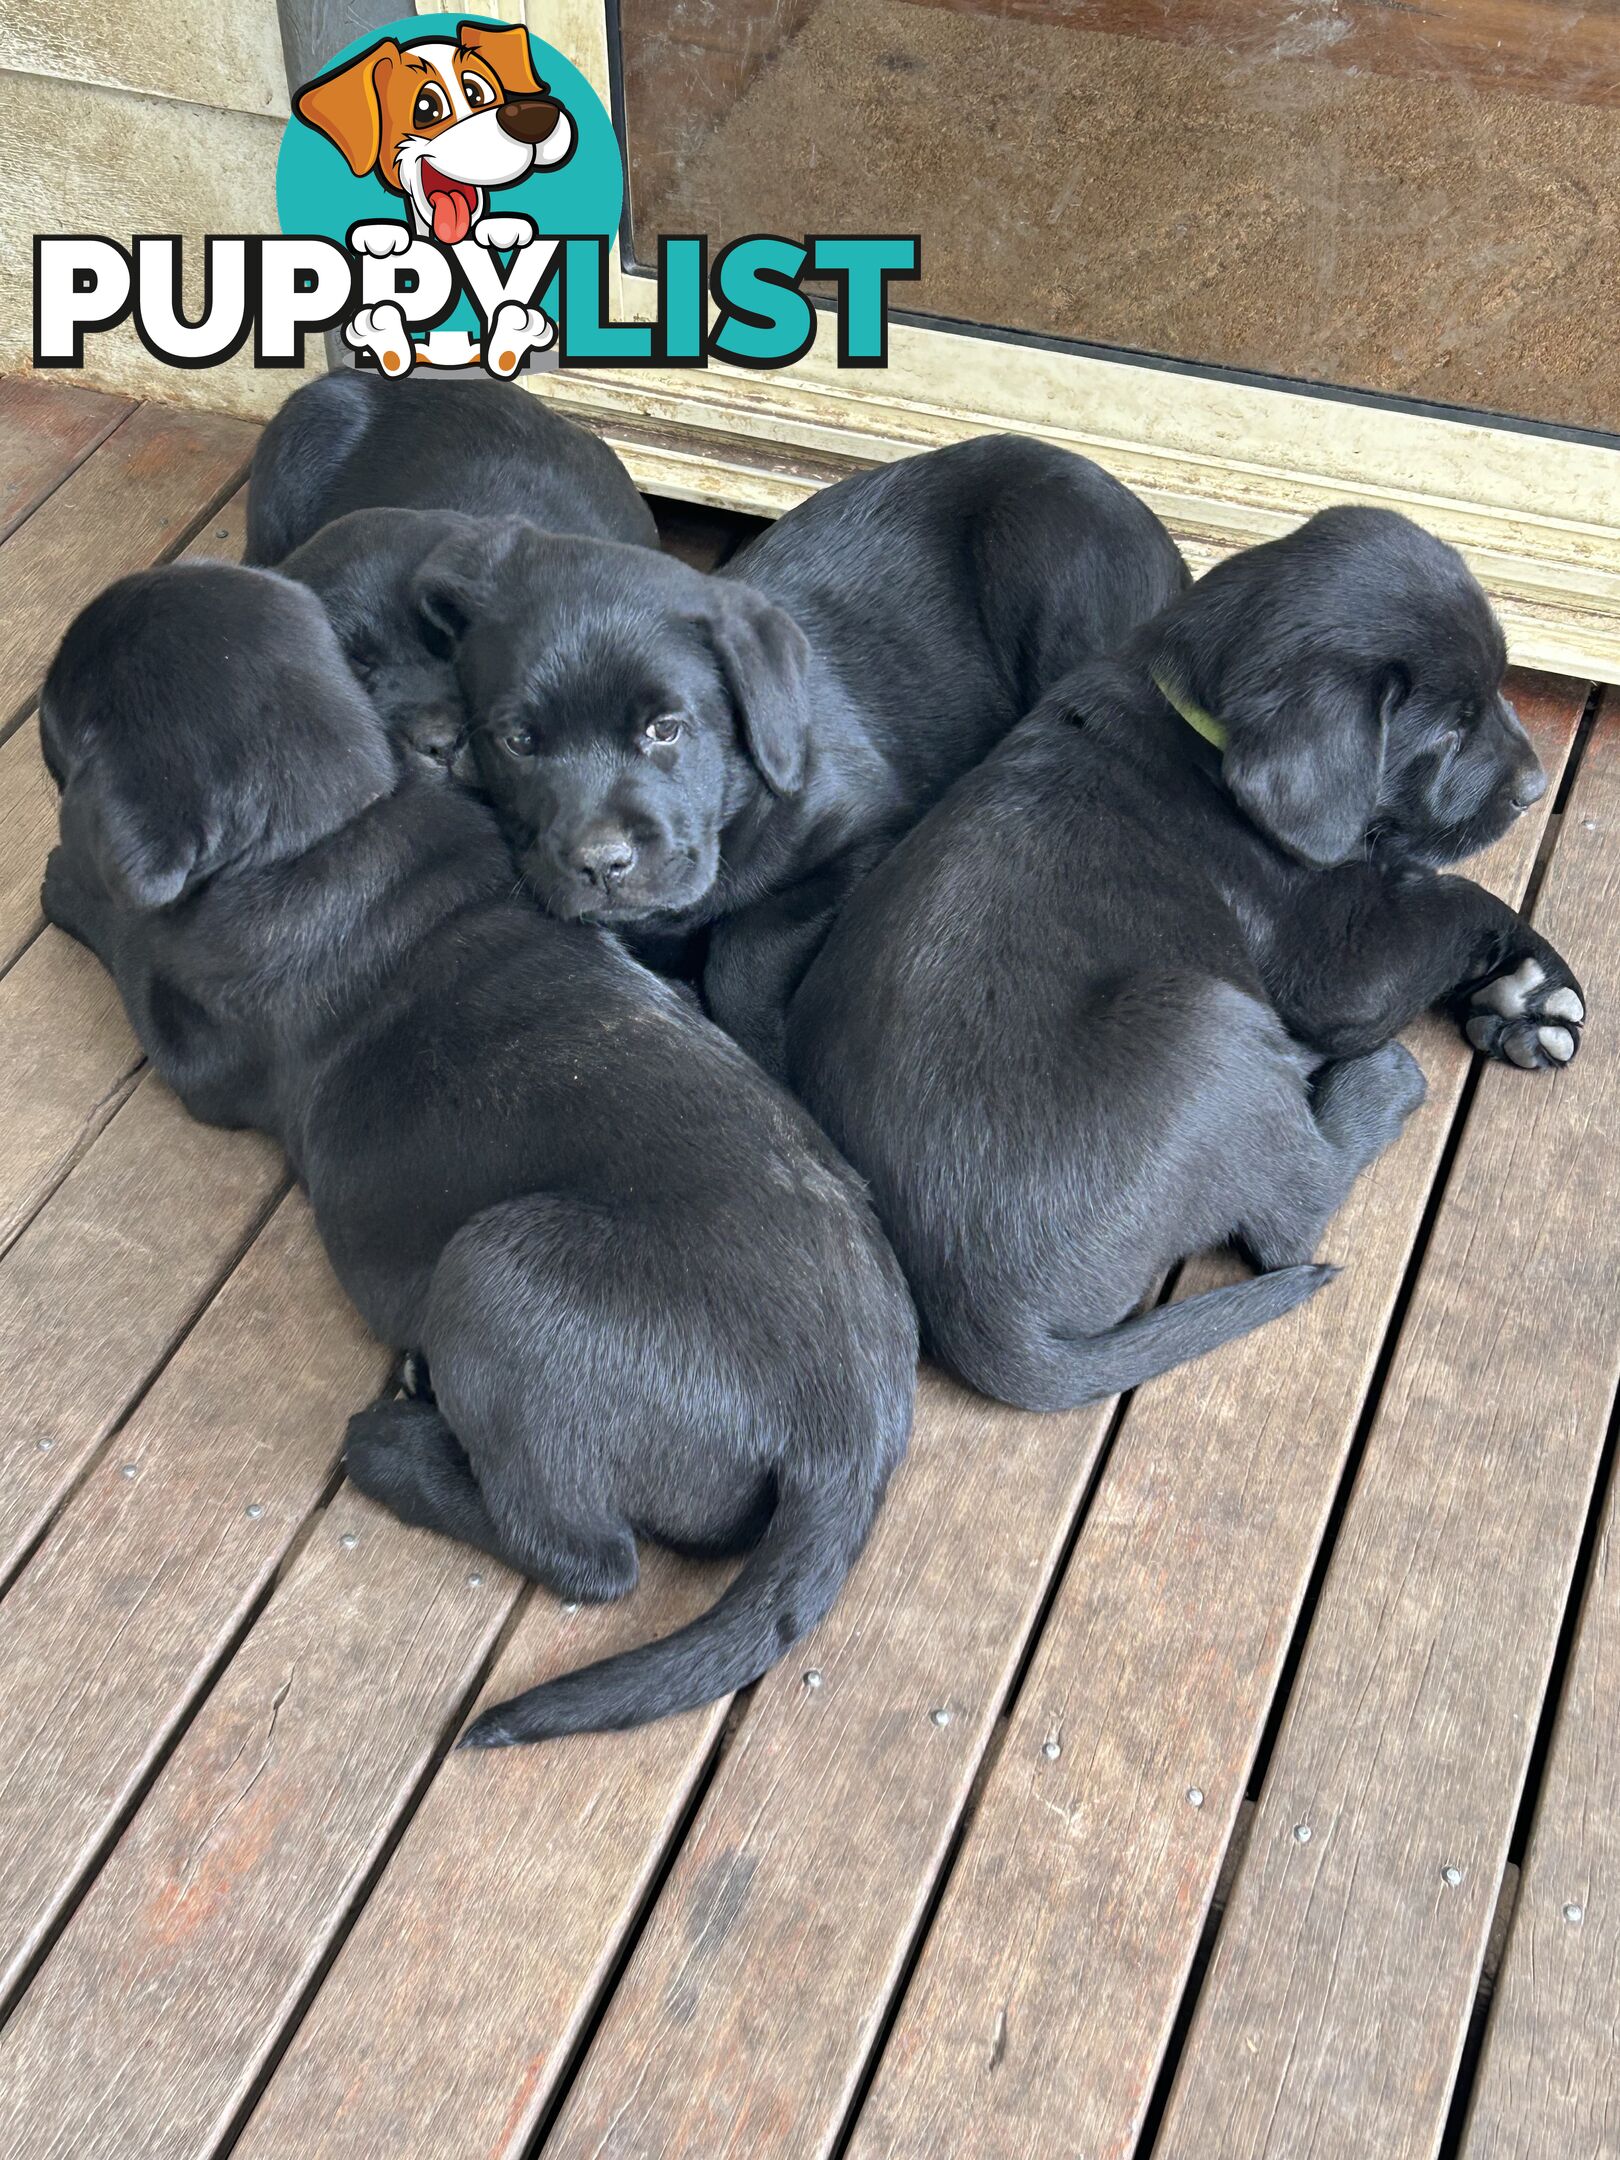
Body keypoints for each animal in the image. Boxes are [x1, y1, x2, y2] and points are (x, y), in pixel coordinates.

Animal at [38, 565, 920, 1745]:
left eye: (54, 721)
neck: (334, 816)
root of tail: (848, 1436)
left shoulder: (196, 1049)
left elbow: (128, 939)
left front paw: (63, 876)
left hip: (500, 1266)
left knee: (590, 1558)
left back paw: (395, 1449)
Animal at [786, 505, 1589, 1416]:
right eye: (1450, 729)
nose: (1534, 788)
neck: (1190, 720)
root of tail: (978, 1317)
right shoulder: (1336, 969)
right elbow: (1452, 899)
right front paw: (1524, 976)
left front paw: (1530, 994)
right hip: (1200, 1022)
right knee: (1294, 1212)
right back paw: (1377, 1085)